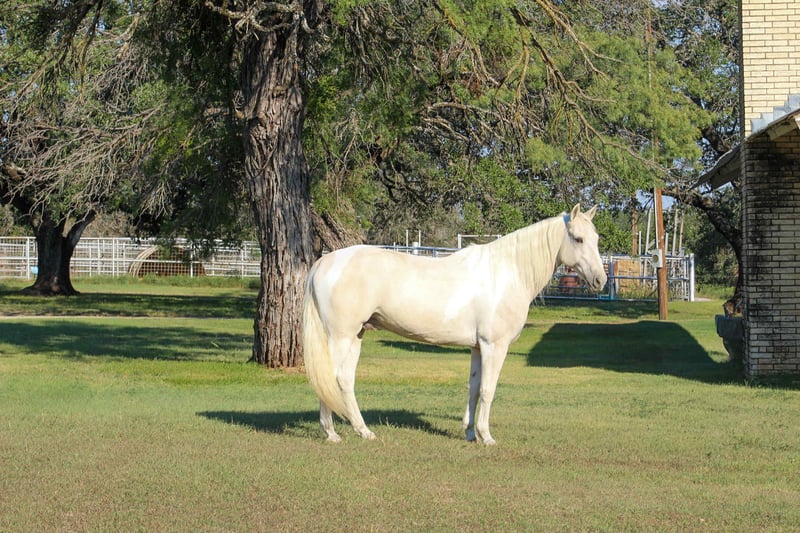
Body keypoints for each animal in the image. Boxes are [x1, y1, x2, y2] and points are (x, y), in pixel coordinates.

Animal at [302, 204, 607, 444]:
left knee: (343, 380)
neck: (506, 273)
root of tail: (326, 261)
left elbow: (473, 388)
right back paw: (342, 433)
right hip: (341, 337)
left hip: (356, 336)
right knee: (332, 377)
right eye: (578, 239)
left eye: (596, 238)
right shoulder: (494, 347)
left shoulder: (477, 348)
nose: (600, 280)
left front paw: (470, 433)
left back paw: (353, 431)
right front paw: (486, 436)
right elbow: (488, 390)